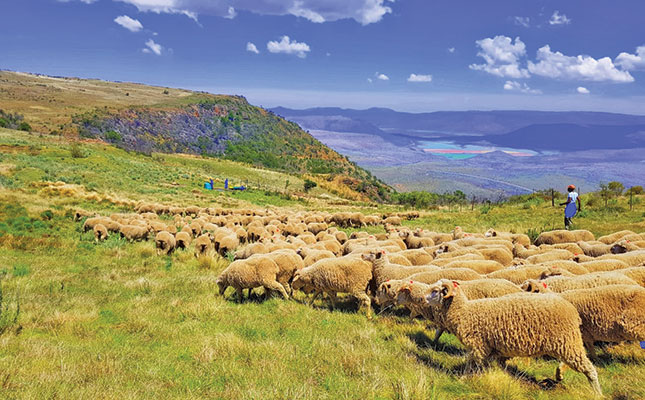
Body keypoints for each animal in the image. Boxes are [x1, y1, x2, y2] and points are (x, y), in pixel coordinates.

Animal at [420, 280, 600, 396]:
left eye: (435, 291)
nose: (421, 298)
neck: (464, 312)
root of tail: (573, 311)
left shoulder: (478, 346)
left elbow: (472, 364)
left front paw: (464, 379)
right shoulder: (491, 349)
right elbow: (488, 365)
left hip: (568, 343)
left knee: (589, 368)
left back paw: (597, 392)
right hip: (566, 344)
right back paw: (559, 374)